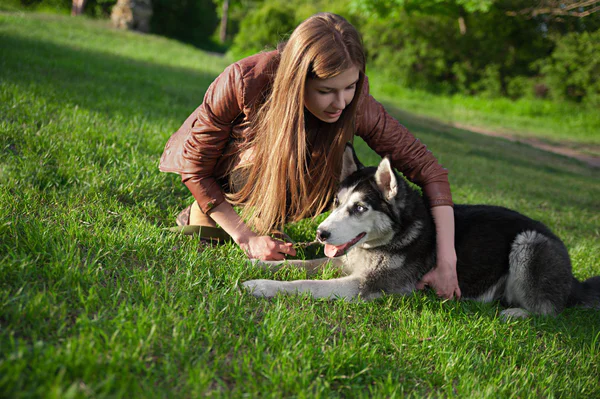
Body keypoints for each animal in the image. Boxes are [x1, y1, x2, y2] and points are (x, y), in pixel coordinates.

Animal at [243, 145, 600, 318]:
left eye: (360, 208)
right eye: (336, 202)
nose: (321, 234)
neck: (392, 239)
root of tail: (573, 280)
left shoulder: (363, 286)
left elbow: (304, 284)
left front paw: (260, 285)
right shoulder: (343, 260)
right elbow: (301, 264)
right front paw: (260, 262)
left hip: (529, 242)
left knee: (550, 311)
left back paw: (516, 313)